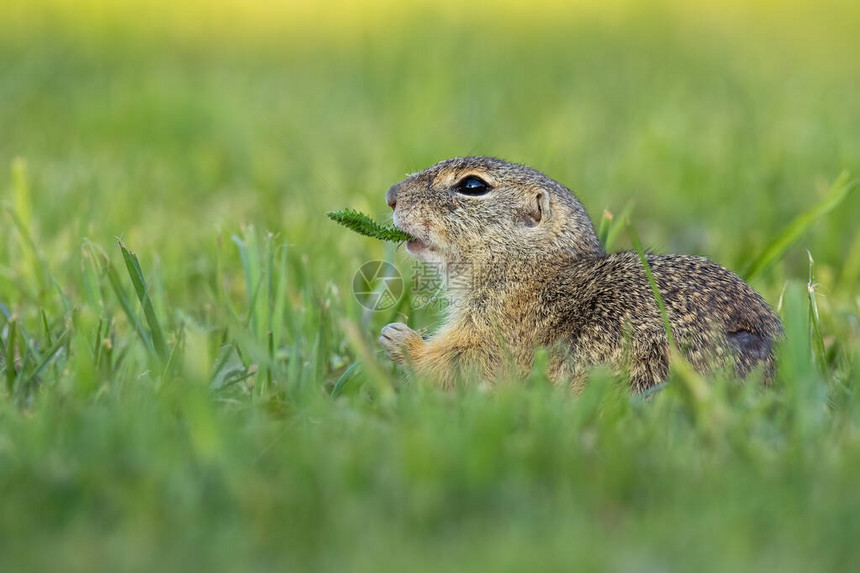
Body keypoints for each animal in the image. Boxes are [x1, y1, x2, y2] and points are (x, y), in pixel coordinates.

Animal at [380, 156, 784, 388]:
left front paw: (399, 338)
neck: (531, 270)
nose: (391, 195)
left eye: (472, 185)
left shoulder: (501, 331)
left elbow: (463, 365)